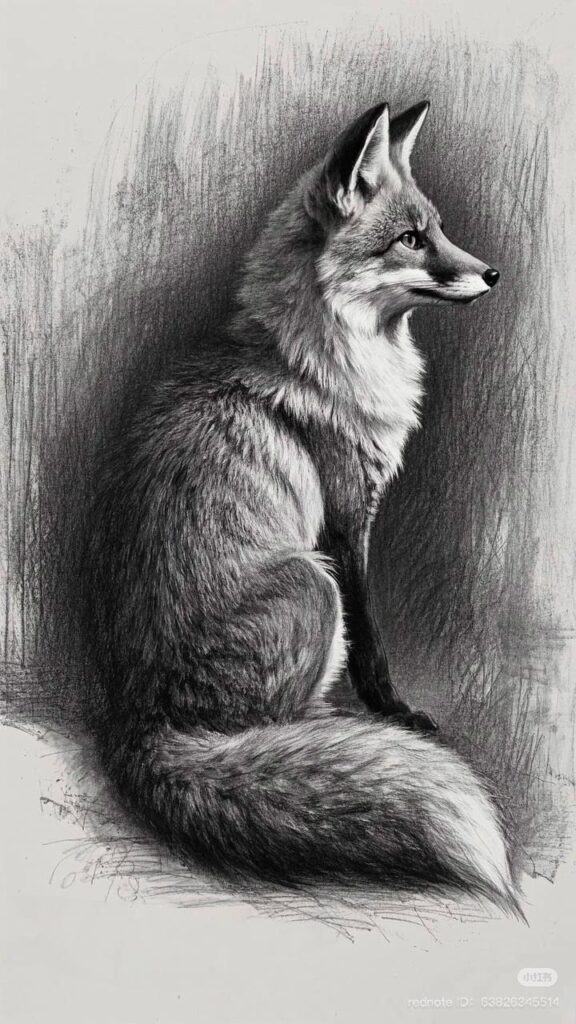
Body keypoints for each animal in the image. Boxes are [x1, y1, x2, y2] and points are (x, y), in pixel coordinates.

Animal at [88, 100, 520, 913]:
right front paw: (396, 716)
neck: (318, 356)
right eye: (411, 239)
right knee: (275, 729)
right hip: (313, 585)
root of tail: (137, 722)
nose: (492, 272)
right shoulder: (346, 524)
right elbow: (375, 644)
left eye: (440, 227)